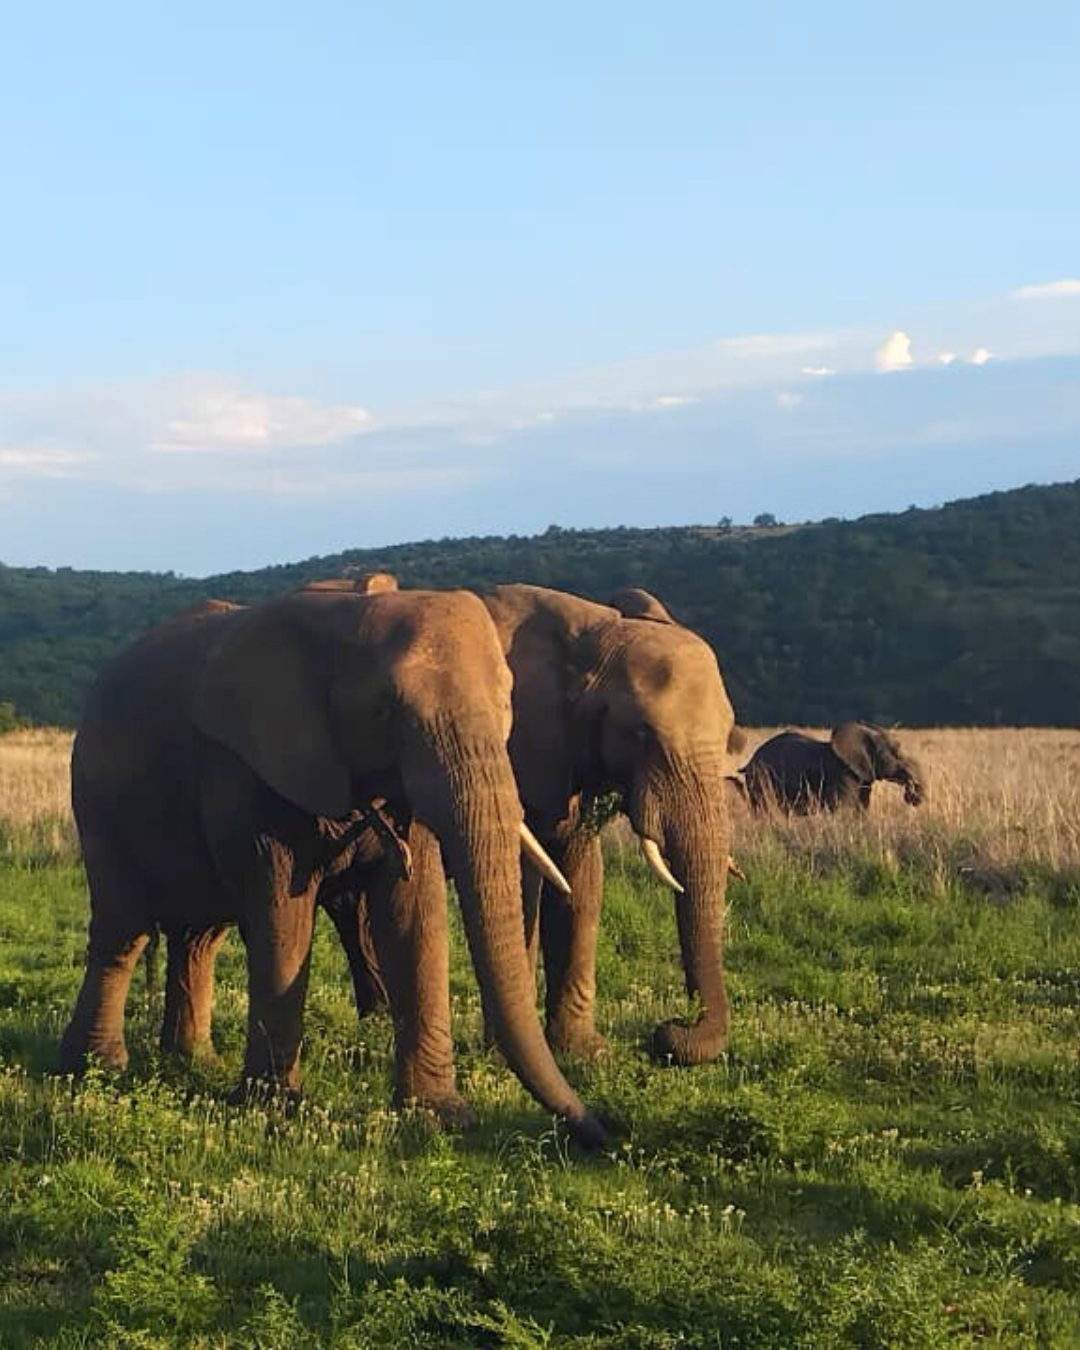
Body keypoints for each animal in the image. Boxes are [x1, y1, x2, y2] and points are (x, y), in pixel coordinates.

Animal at [60, 580, 607, 1147]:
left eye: (506, 704)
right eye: (387, 712)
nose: (602, 1129)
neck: (347, 615)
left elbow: (415, 917)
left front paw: (441, 1117)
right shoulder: (252, 769)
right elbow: (284, 918)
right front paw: (274, 1110)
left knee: (199, 936)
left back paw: (195, 1064)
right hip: (96, 797)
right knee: (124, 929)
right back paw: (96, 1068)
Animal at [739, 721, 926, 814]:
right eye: (896, 753)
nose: (912, 795)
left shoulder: (863, 775)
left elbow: (862, 808)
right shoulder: (842, 773)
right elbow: (843, 809)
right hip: (760, 778)